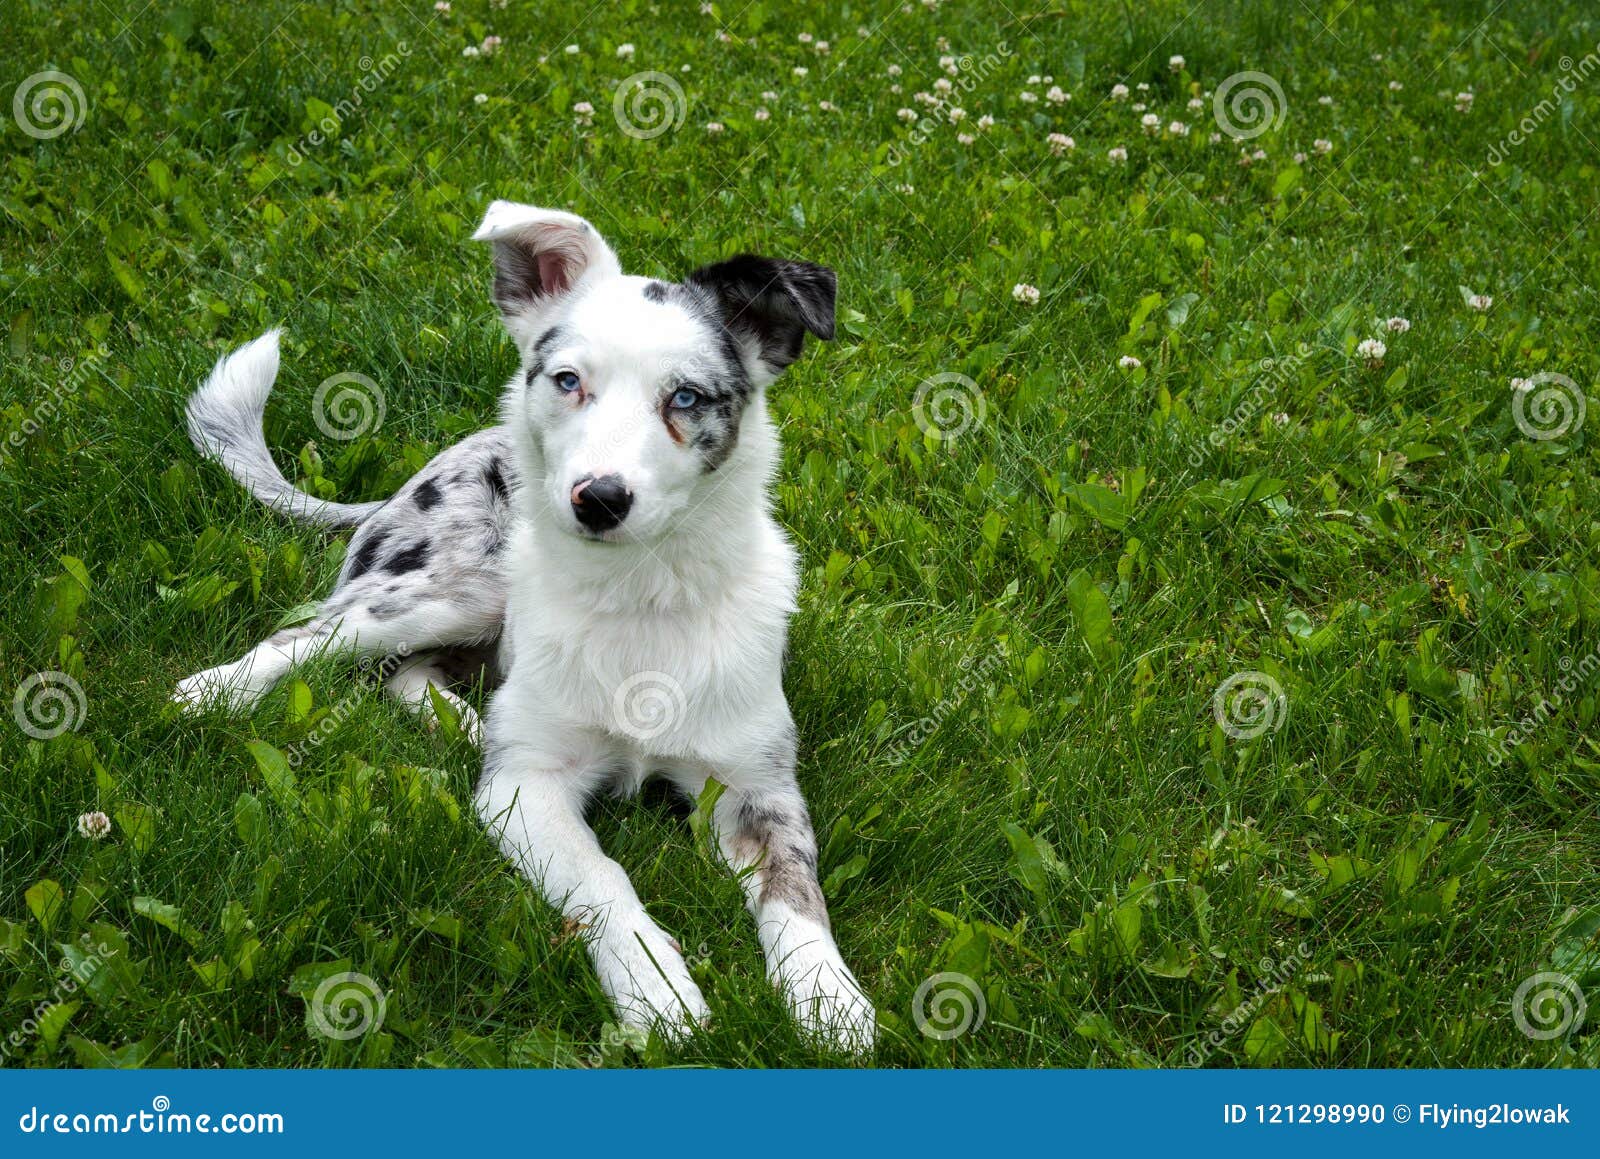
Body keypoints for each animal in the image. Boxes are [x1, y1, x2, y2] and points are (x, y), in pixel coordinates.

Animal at [178, 199, 876, 1050]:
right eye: (568, 380)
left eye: (685, 398)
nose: (599, 498)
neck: (639, 593)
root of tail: (408, 481)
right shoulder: (530, 789)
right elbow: (603, 876)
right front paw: (655, 988)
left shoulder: (756, 785)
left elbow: (796, 890)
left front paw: (827, 996)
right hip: (460, 584)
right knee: (316, 636)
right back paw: (216, 690)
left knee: (412, 674)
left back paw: (467, 726)